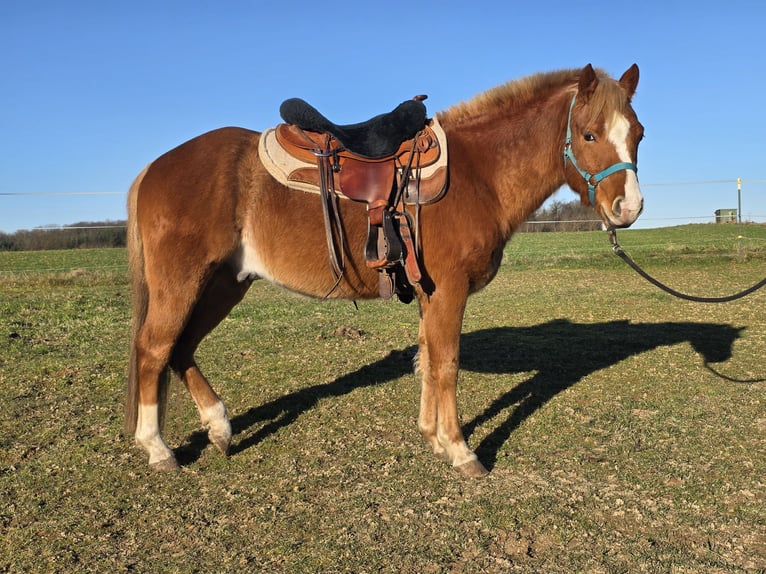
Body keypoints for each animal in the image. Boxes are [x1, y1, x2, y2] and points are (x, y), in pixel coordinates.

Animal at [125, 64, 644, 477]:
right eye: (590, 134)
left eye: (637, 133)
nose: (629, 208)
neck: (478, 174)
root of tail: (153, 168)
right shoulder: (449, 292)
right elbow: (447, 364)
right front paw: (461, 451)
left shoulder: (431, 295)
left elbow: (428, 361)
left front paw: (433, 437)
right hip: (184, 283)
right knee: (154, 349)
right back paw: (158, 448)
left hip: (223, 285)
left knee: (181, 348)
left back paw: (219, 427)